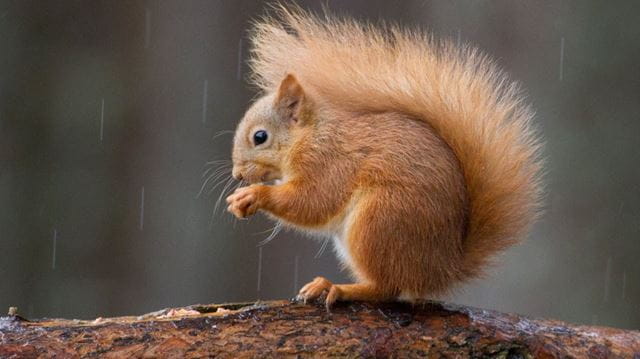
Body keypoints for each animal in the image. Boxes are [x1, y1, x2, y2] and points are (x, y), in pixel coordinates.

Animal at [225, 6, 540, 310]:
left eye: (260, 137)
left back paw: (335, 288)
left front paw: (254, 195)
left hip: (379, 220)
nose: (238, 175)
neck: (311, 136)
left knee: (387, 288)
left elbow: (312, 202)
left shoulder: (329, 163)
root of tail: (443, 268)